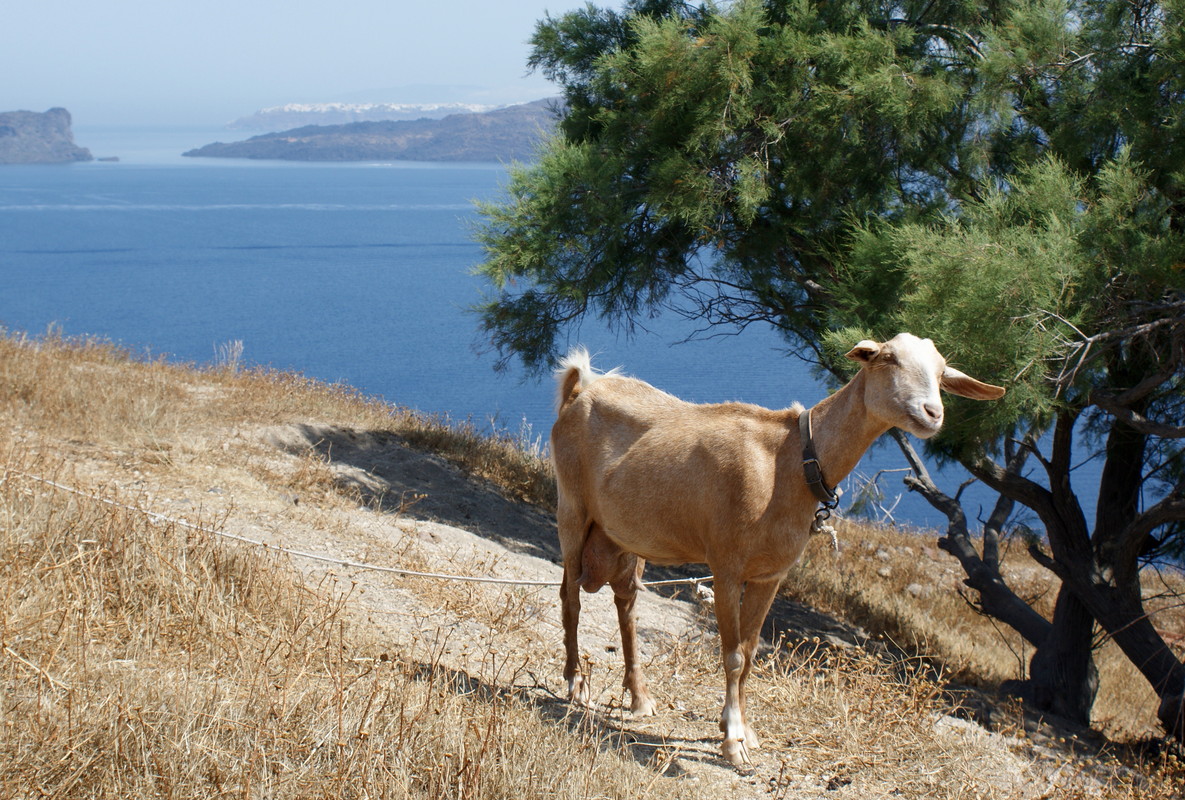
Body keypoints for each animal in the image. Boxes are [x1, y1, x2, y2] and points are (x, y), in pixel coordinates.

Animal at [550, 333, 1005, 766]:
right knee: (569, 595)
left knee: (626, 604)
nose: (932, 413)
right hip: (572, 508)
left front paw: (744, 731)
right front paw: (733, 742)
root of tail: (581, 388)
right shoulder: (726, 565)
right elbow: (733, 655)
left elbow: (751, 654)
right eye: (887, 358)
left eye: (942, 370)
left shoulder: (770, 574)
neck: (789, 462)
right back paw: (575, 683)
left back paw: (640, 697)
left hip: (626, 539)